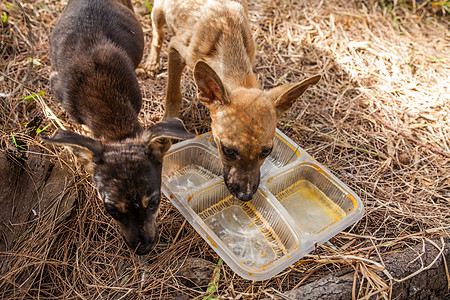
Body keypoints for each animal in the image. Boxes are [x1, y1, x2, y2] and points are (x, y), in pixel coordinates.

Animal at [144, 0, 320, 202]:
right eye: (228, 150)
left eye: (267, 151)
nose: (245, 195)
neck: (228, 37)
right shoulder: (175, 49)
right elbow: (173, 95)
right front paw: (164, 133)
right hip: (159, 11)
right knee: (157, 34)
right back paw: (151, 62)